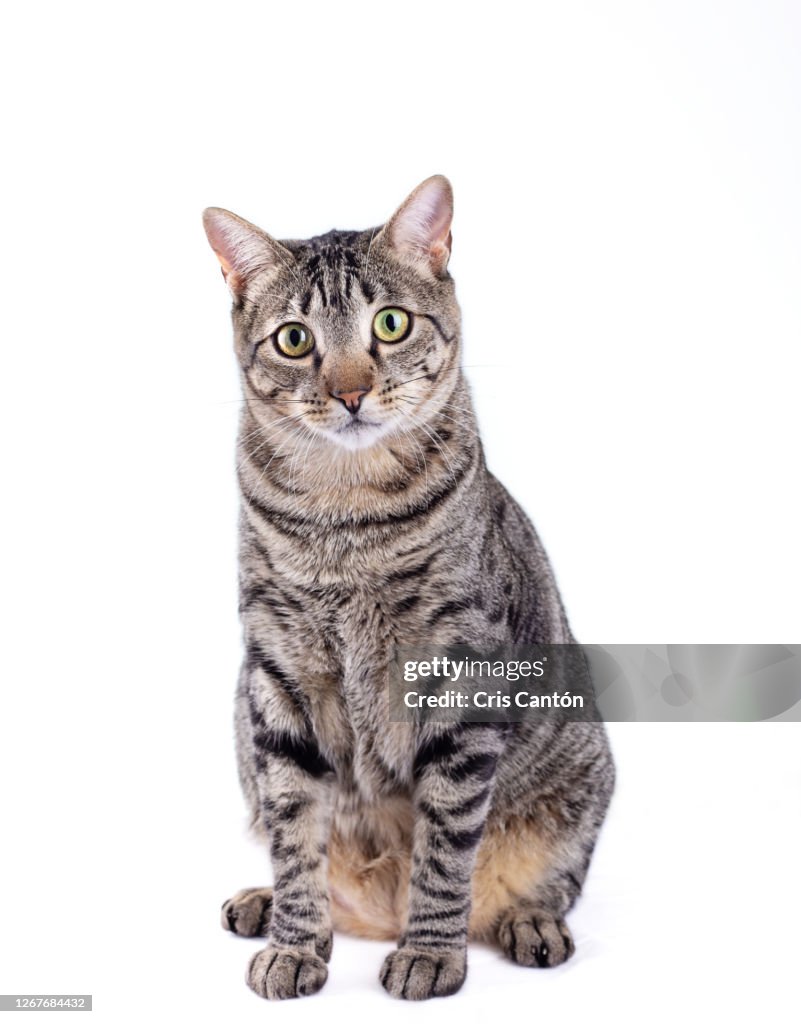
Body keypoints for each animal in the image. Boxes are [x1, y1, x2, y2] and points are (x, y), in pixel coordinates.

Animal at [205, 176, 614, 999]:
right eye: (294, 339)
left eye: (390, 325)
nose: (351, 391)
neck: (344, 519)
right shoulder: (278, 676)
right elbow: (294, 831)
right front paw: (295, 942)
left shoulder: (459, 673)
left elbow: (446, 845)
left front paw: (429, 951)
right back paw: (265, 903)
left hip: (583, 775)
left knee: (546, 882)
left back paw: (527, 921)